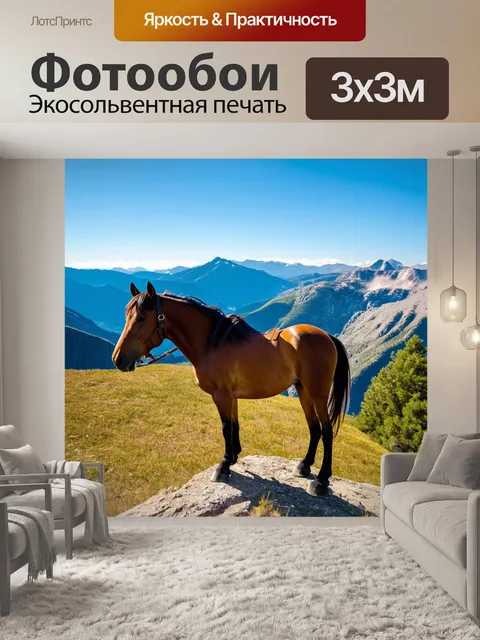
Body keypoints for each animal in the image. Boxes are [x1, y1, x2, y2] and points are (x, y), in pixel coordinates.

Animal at [112, 281, 351, 497]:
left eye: (142, 318)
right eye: (127, 316)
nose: (118, 359)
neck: (211, 344)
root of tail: (327, 336)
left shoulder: (222, 396)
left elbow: (226, 427)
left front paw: (223, 466)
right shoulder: (231, 397)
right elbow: (234, 425)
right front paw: (234, 457)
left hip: (317, 394)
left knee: (326, 431)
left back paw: (321, 481)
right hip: (303, 391)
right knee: (314, 428)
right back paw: (304, 465)